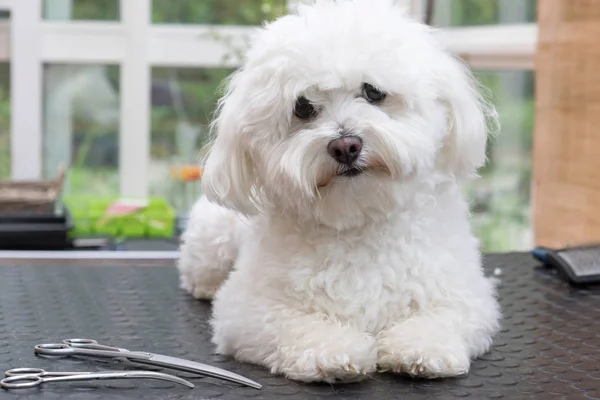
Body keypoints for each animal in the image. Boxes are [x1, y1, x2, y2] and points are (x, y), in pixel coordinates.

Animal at [178, 0, 502, 382]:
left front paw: (420, 346)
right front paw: (333, 350)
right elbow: (295, 324)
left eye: (373, 92)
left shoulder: (467, 296)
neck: (359, 221)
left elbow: (443, 317)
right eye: (303, 107)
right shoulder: (246, 310)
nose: (345, 145)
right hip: (211, 239)